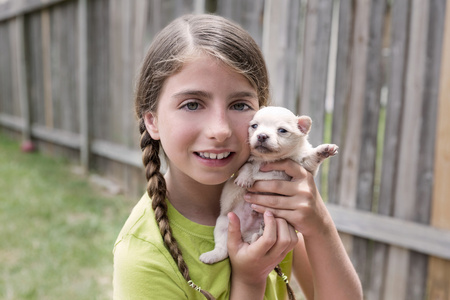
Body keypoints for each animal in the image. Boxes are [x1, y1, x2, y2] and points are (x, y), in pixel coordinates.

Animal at [200, 106, 338, 264]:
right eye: (254, 126)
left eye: (282, 130)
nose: (262, 136)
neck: (269, 159)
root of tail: (246, 234)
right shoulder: (242, 162)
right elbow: (247, 166)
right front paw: (245, 179)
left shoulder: (305, 165)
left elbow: (312, 157)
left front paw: (324, 150)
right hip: (223, 223)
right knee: (223, 248)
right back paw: (211, 255)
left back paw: (260, 233)